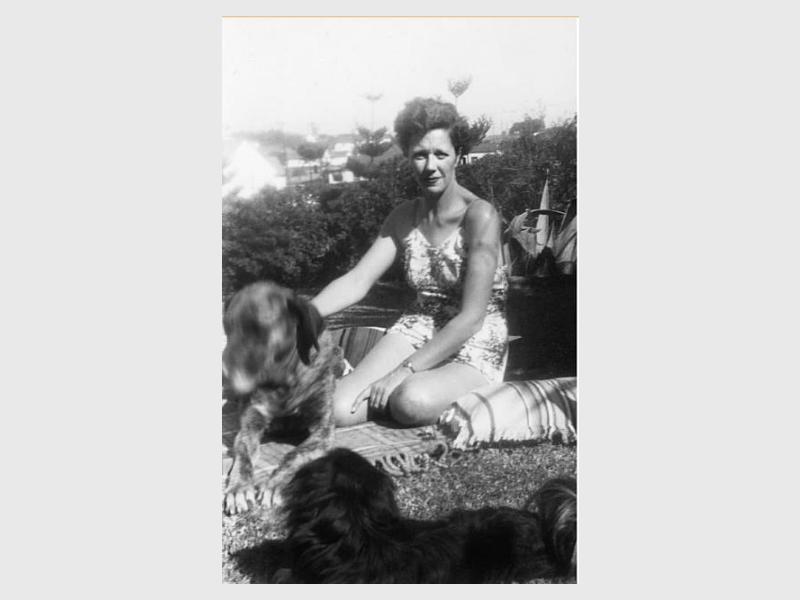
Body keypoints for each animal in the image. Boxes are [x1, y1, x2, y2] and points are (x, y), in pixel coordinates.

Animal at [222, 281, 339, 515]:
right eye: (227, 328)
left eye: (258, 327)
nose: (223, 371)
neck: (282, 382)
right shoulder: (249, 427)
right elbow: (243, 457)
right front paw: (239, 487)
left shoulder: (323, 431)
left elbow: (295, 454)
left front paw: (276, 484)